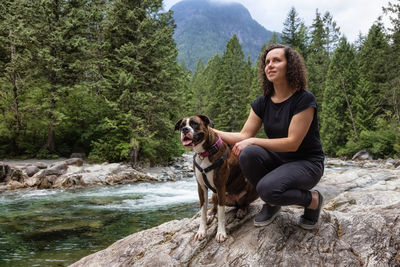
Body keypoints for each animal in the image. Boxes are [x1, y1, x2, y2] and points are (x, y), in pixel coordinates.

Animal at [176, 114, 260, 243]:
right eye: (181, 125)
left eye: (194, 123)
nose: (184, 129)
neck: (205, 153)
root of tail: (234, 202)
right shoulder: (201, 187)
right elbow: (203, 211)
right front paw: (201, 231)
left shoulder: (220, 186)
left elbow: (221, 214)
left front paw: (221, 233)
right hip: (215, 195)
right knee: (215, 206)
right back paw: (211, 214)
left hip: (249, 189)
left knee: (244, 203)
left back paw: (242, 210)